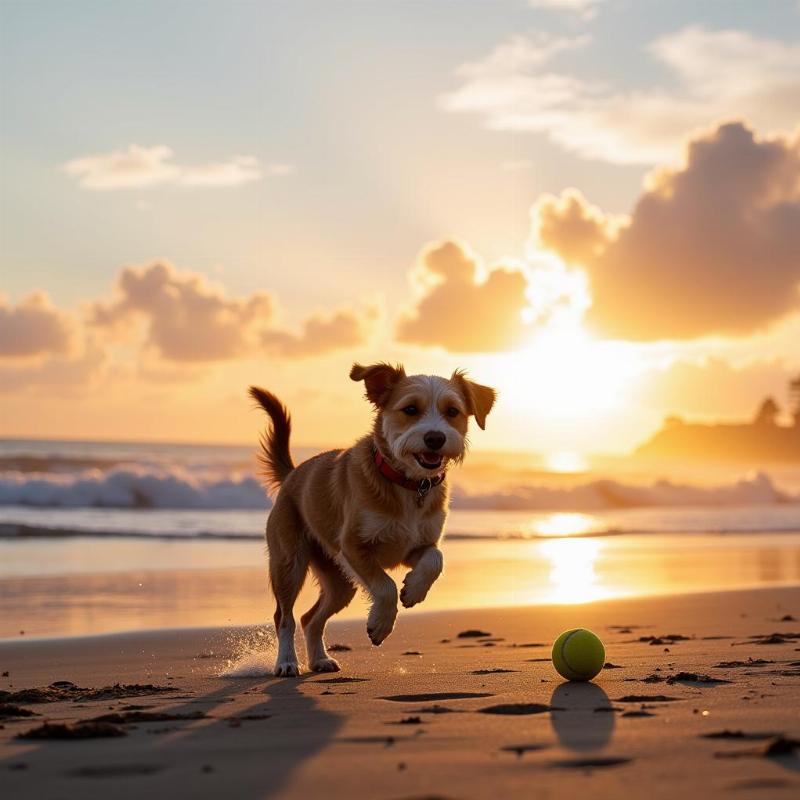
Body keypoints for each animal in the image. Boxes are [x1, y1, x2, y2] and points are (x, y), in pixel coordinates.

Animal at [250, 362, 496, 676]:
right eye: (410, 409)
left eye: (452, 411)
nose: (435, 438)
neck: (409, 484)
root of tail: (292, 474)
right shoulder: (354, 547)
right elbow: (385, 586)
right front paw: (380, 624)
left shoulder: (417, 545)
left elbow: (435, 559)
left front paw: (414, 591)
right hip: (288, 563)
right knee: (284, 616)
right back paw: (286, 662)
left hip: (340, 583)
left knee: (310, 618)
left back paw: (319, 659)